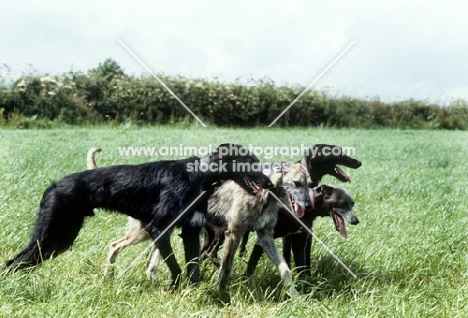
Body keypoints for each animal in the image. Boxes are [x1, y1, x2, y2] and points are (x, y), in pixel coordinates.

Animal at [4, 144, 274, 286]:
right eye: (250, 162)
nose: (270, 184)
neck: (198, 175)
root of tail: (53, 186)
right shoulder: (159, 229)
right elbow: (176, 268)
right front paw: (172, 288)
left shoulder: (190, 230)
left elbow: (193, 268)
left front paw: (192, 291)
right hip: (51, 234)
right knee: (14, 261)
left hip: (60, 239)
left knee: (21, 261)